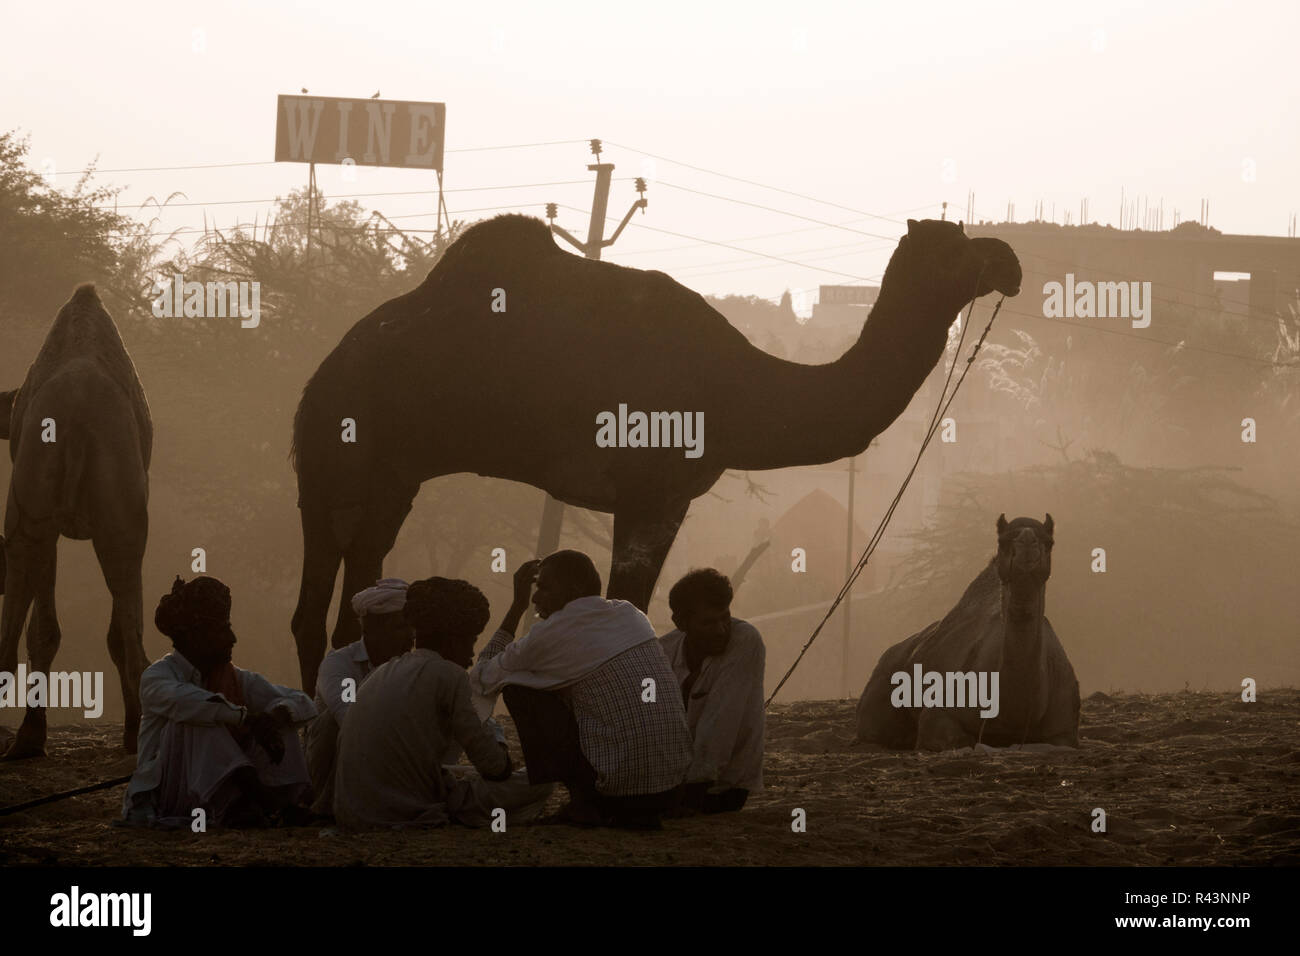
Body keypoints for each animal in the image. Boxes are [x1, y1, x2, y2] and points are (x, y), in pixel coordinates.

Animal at [289, 213, 1019, 691]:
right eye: (955, 246)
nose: (1010, 260)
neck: (737, 388)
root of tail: (320, 374)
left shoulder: (670, 497)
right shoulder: (648, 486)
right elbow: (628, 607)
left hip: (390, 474)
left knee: (352, 585)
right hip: (336, 451)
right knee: (318, 598)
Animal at [857, 512, 1081, 749]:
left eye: (1049, 542)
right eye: (1002, 541)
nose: (1027, 542)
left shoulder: (1065, 729)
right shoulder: (941, 708)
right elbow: (957, 736)